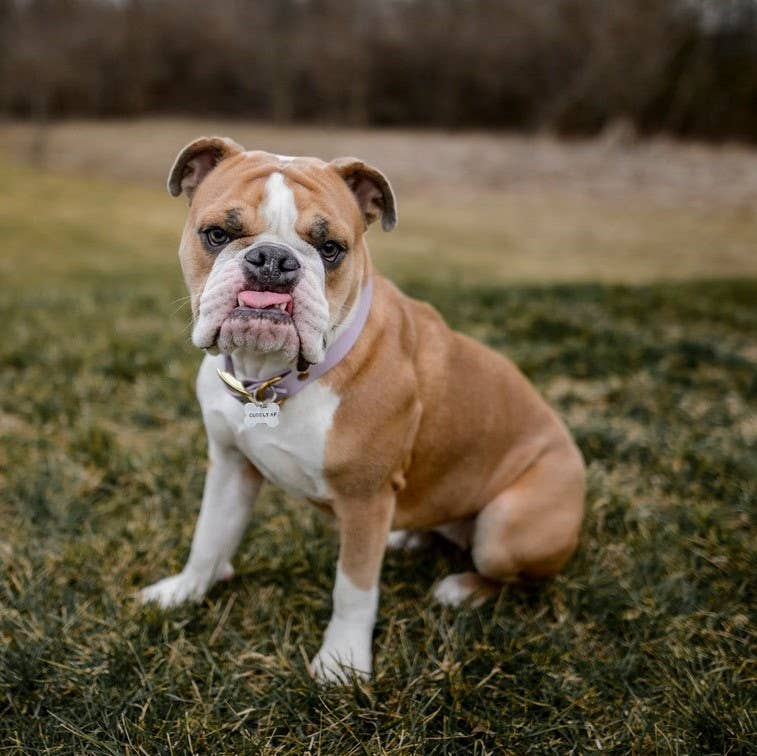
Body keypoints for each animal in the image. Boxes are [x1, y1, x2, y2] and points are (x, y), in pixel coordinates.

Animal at [140, 137, 584, 684]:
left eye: (331, 248)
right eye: (217, 234)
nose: (271, 260)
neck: (271, 376)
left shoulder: (365, 497)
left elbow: (352, 589)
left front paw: (343, 661)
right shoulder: (230, 465)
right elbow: (208, 536)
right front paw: (184, 592)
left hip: (507, 527)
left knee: (512, 574)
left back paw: (460, 589)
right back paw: (409, 538)